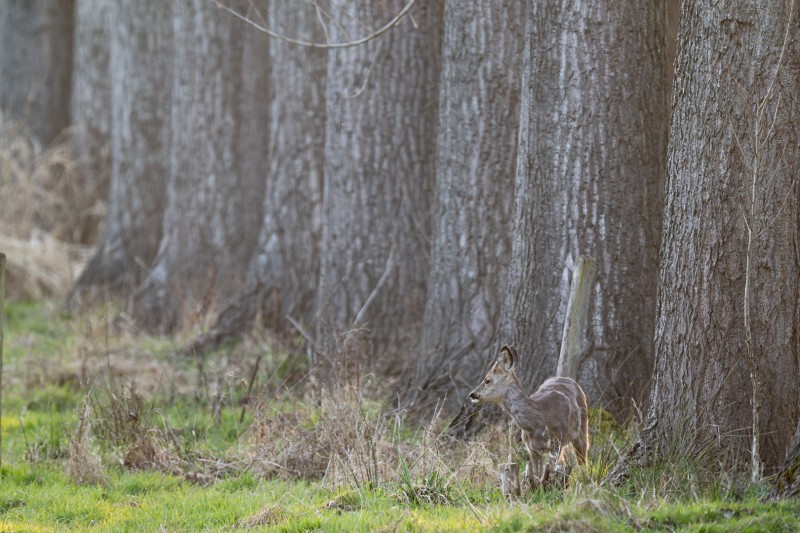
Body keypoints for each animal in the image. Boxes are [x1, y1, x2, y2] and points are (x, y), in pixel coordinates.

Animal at [468, 344, 588, 486]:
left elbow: (548, 473)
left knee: (583, 458)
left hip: (582, 428)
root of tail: (568, 379)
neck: (539, 419)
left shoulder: (556, 442)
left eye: (487, 380)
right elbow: (537, 475)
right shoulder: (531, 448)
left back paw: (586, 478)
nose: (472, 394)